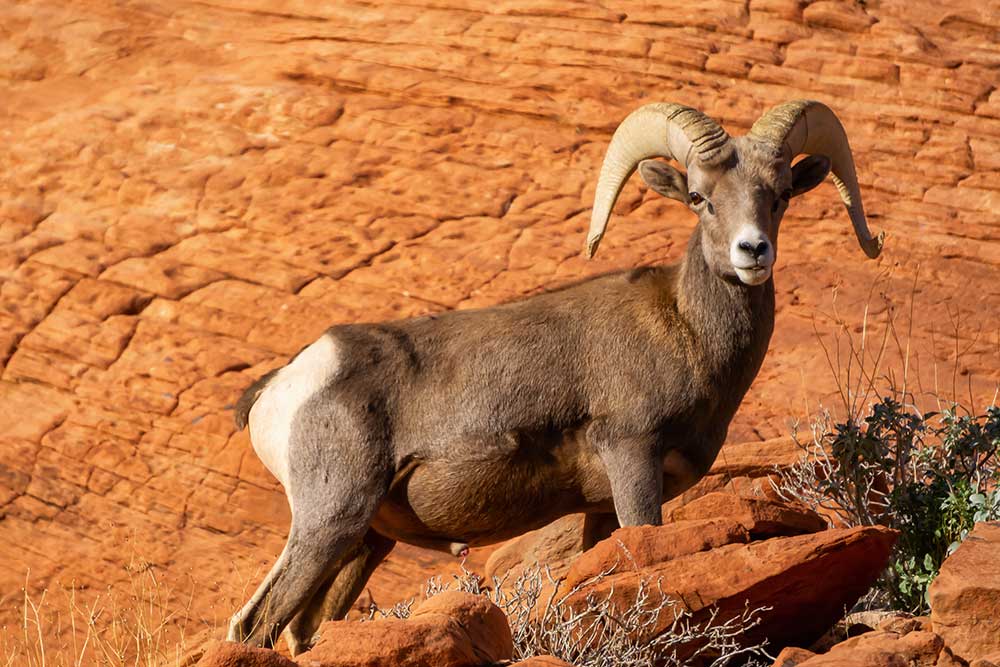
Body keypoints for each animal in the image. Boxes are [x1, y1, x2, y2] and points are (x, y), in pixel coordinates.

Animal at [229, 99, 884, 652]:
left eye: (781, 195)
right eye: (699, 197)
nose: (753, 252)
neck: (685, 331)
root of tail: (286, 383)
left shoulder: (600, 509)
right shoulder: (632, 457)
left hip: (365, 542)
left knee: (303, 632)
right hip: (329, 519)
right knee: (254, 626)